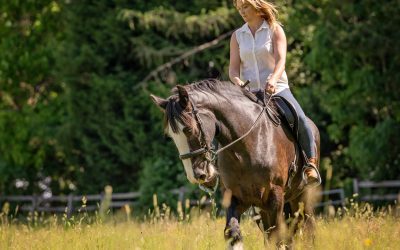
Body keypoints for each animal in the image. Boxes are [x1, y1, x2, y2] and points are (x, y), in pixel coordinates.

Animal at [152, 79, 320, 248]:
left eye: (188, 129)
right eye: (171, 136)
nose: (196, 175)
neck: (248, 144)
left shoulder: (275, 195)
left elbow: (277, 238)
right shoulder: (237, 197)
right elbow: (233, 233)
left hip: (302, 197)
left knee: (307, 228)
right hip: (263, 209)